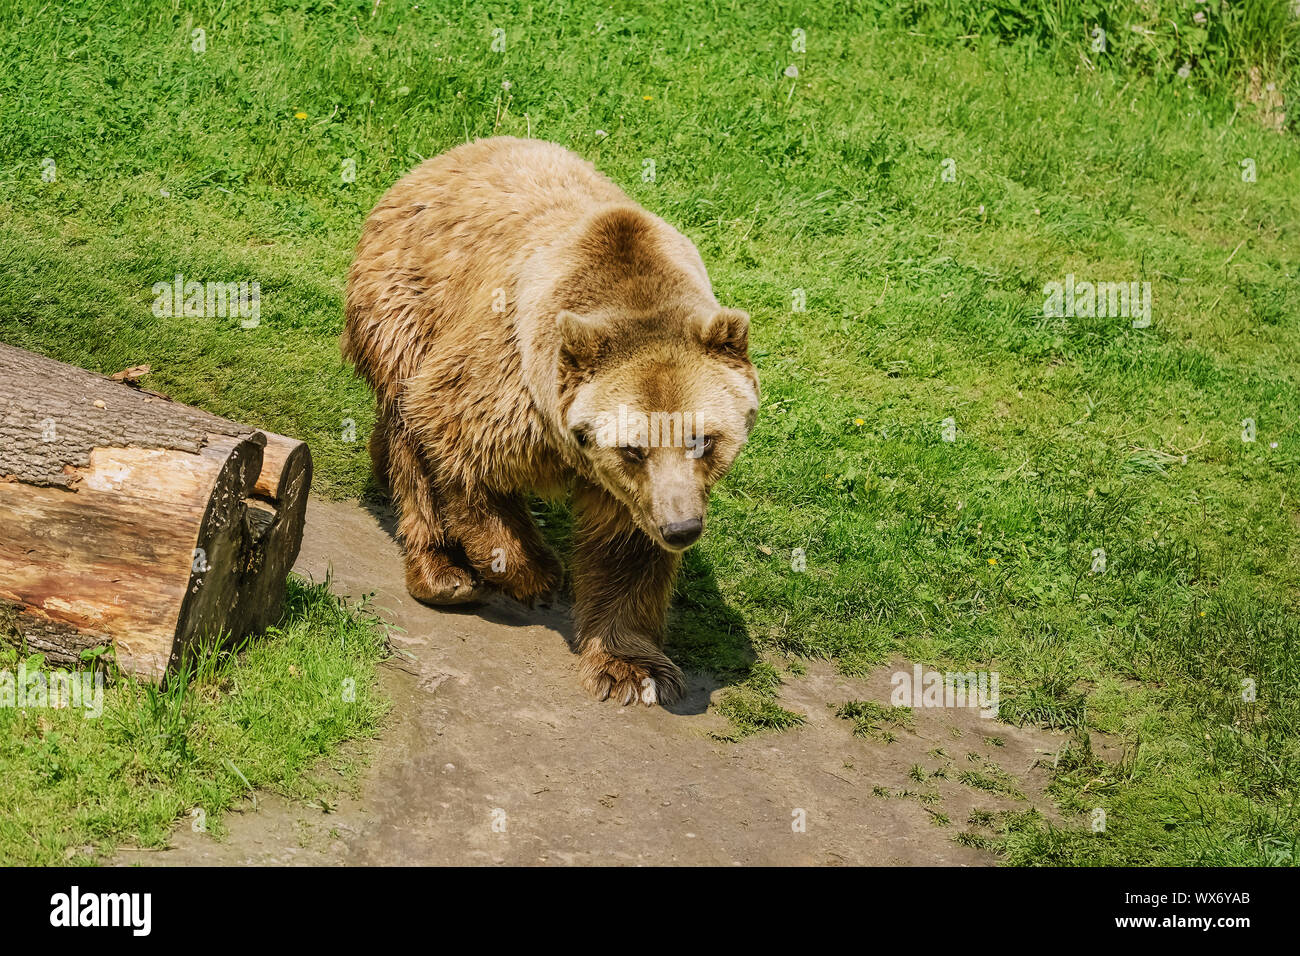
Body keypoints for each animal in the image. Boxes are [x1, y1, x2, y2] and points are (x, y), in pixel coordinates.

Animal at [345, 136, 759, 702]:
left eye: (703, 440)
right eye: (633, 448)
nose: (681, 528)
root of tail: (444, 157)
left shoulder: (630, 490)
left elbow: (627, 549)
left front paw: (634, 668)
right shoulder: (510, 375)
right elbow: (456, 444)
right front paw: (530, 571)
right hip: (407, 304)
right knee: (410, 435)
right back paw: (442, 572)